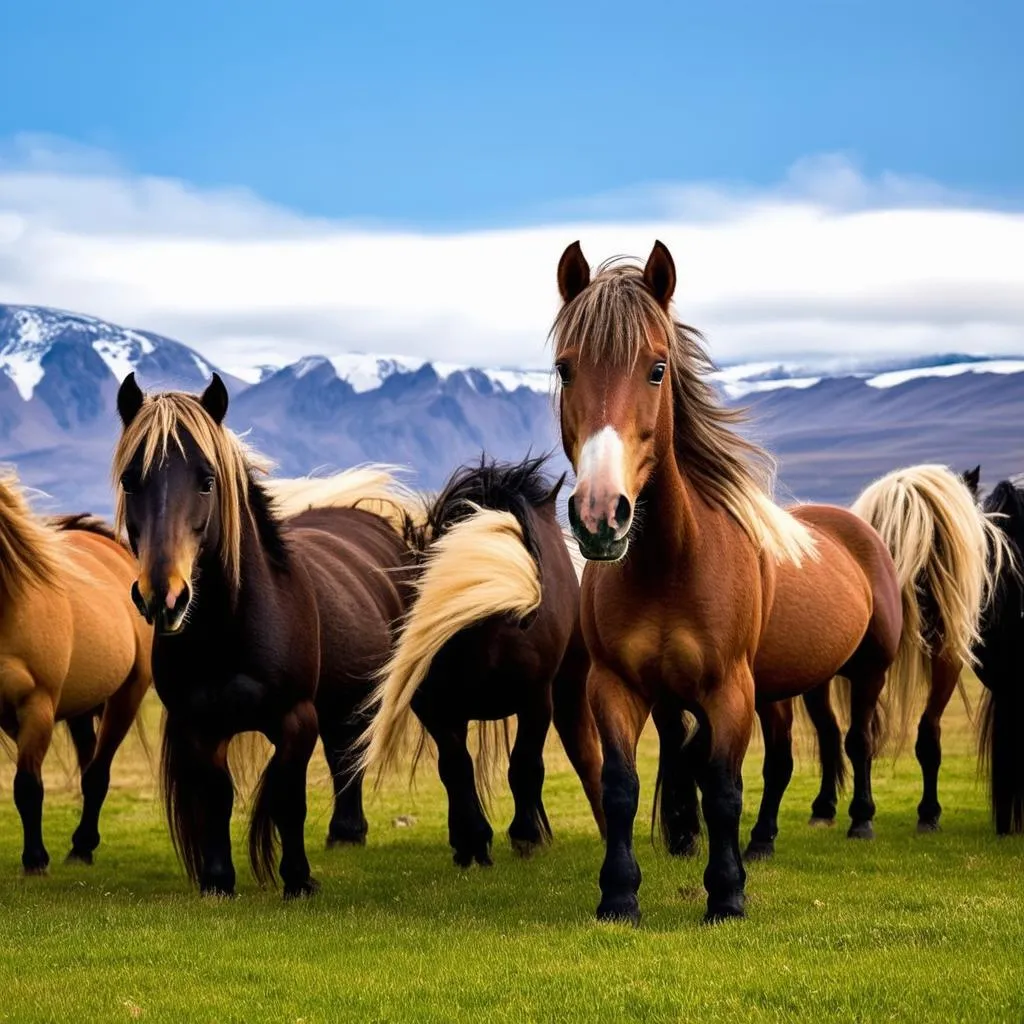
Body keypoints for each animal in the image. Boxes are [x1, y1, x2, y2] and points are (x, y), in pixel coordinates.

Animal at [0, 475, 153, 876]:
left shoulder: (37, 706)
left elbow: (28, 786)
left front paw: (35, 860)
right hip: (83, 707)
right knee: (89, 768)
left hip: (127, 696)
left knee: (97, 774)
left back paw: (82, 846)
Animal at [112, 374, 415, 897]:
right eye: (132, 480)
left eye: (207, 480)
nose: (163, 597)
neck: (228, 631)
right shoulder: (199, 726)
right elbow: (217, 797)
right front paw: (218, 881)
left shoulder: (296, 719)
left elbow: (288, 799)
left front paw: (297, 879)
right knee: (344, 753)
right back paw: (345, 834)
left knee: (349, 755)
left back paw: (348, 834)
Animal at [356, 454, 602, 864]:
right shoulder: (436, 709)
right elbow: (455, 769)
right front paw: (471, 842)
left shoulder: (536, 700)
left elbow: (525, 765)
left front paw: (525, 836)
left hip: (568, 686)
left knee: (583, 752)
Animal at [552, 241, 905, 929]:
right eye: (564, 369)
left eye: (657, 369)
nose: (601, 515)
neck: (671, 564)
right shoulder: (618, 685)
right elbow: (623, 786)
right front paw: (620, 894)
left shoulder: (728, 689)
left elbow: (721, 787)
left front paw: (726, 894)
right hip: (787, 686)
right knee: (785, 760)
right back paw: (763, 841)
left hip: (866, 670)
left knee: (855, 742)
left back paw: (860, 823)